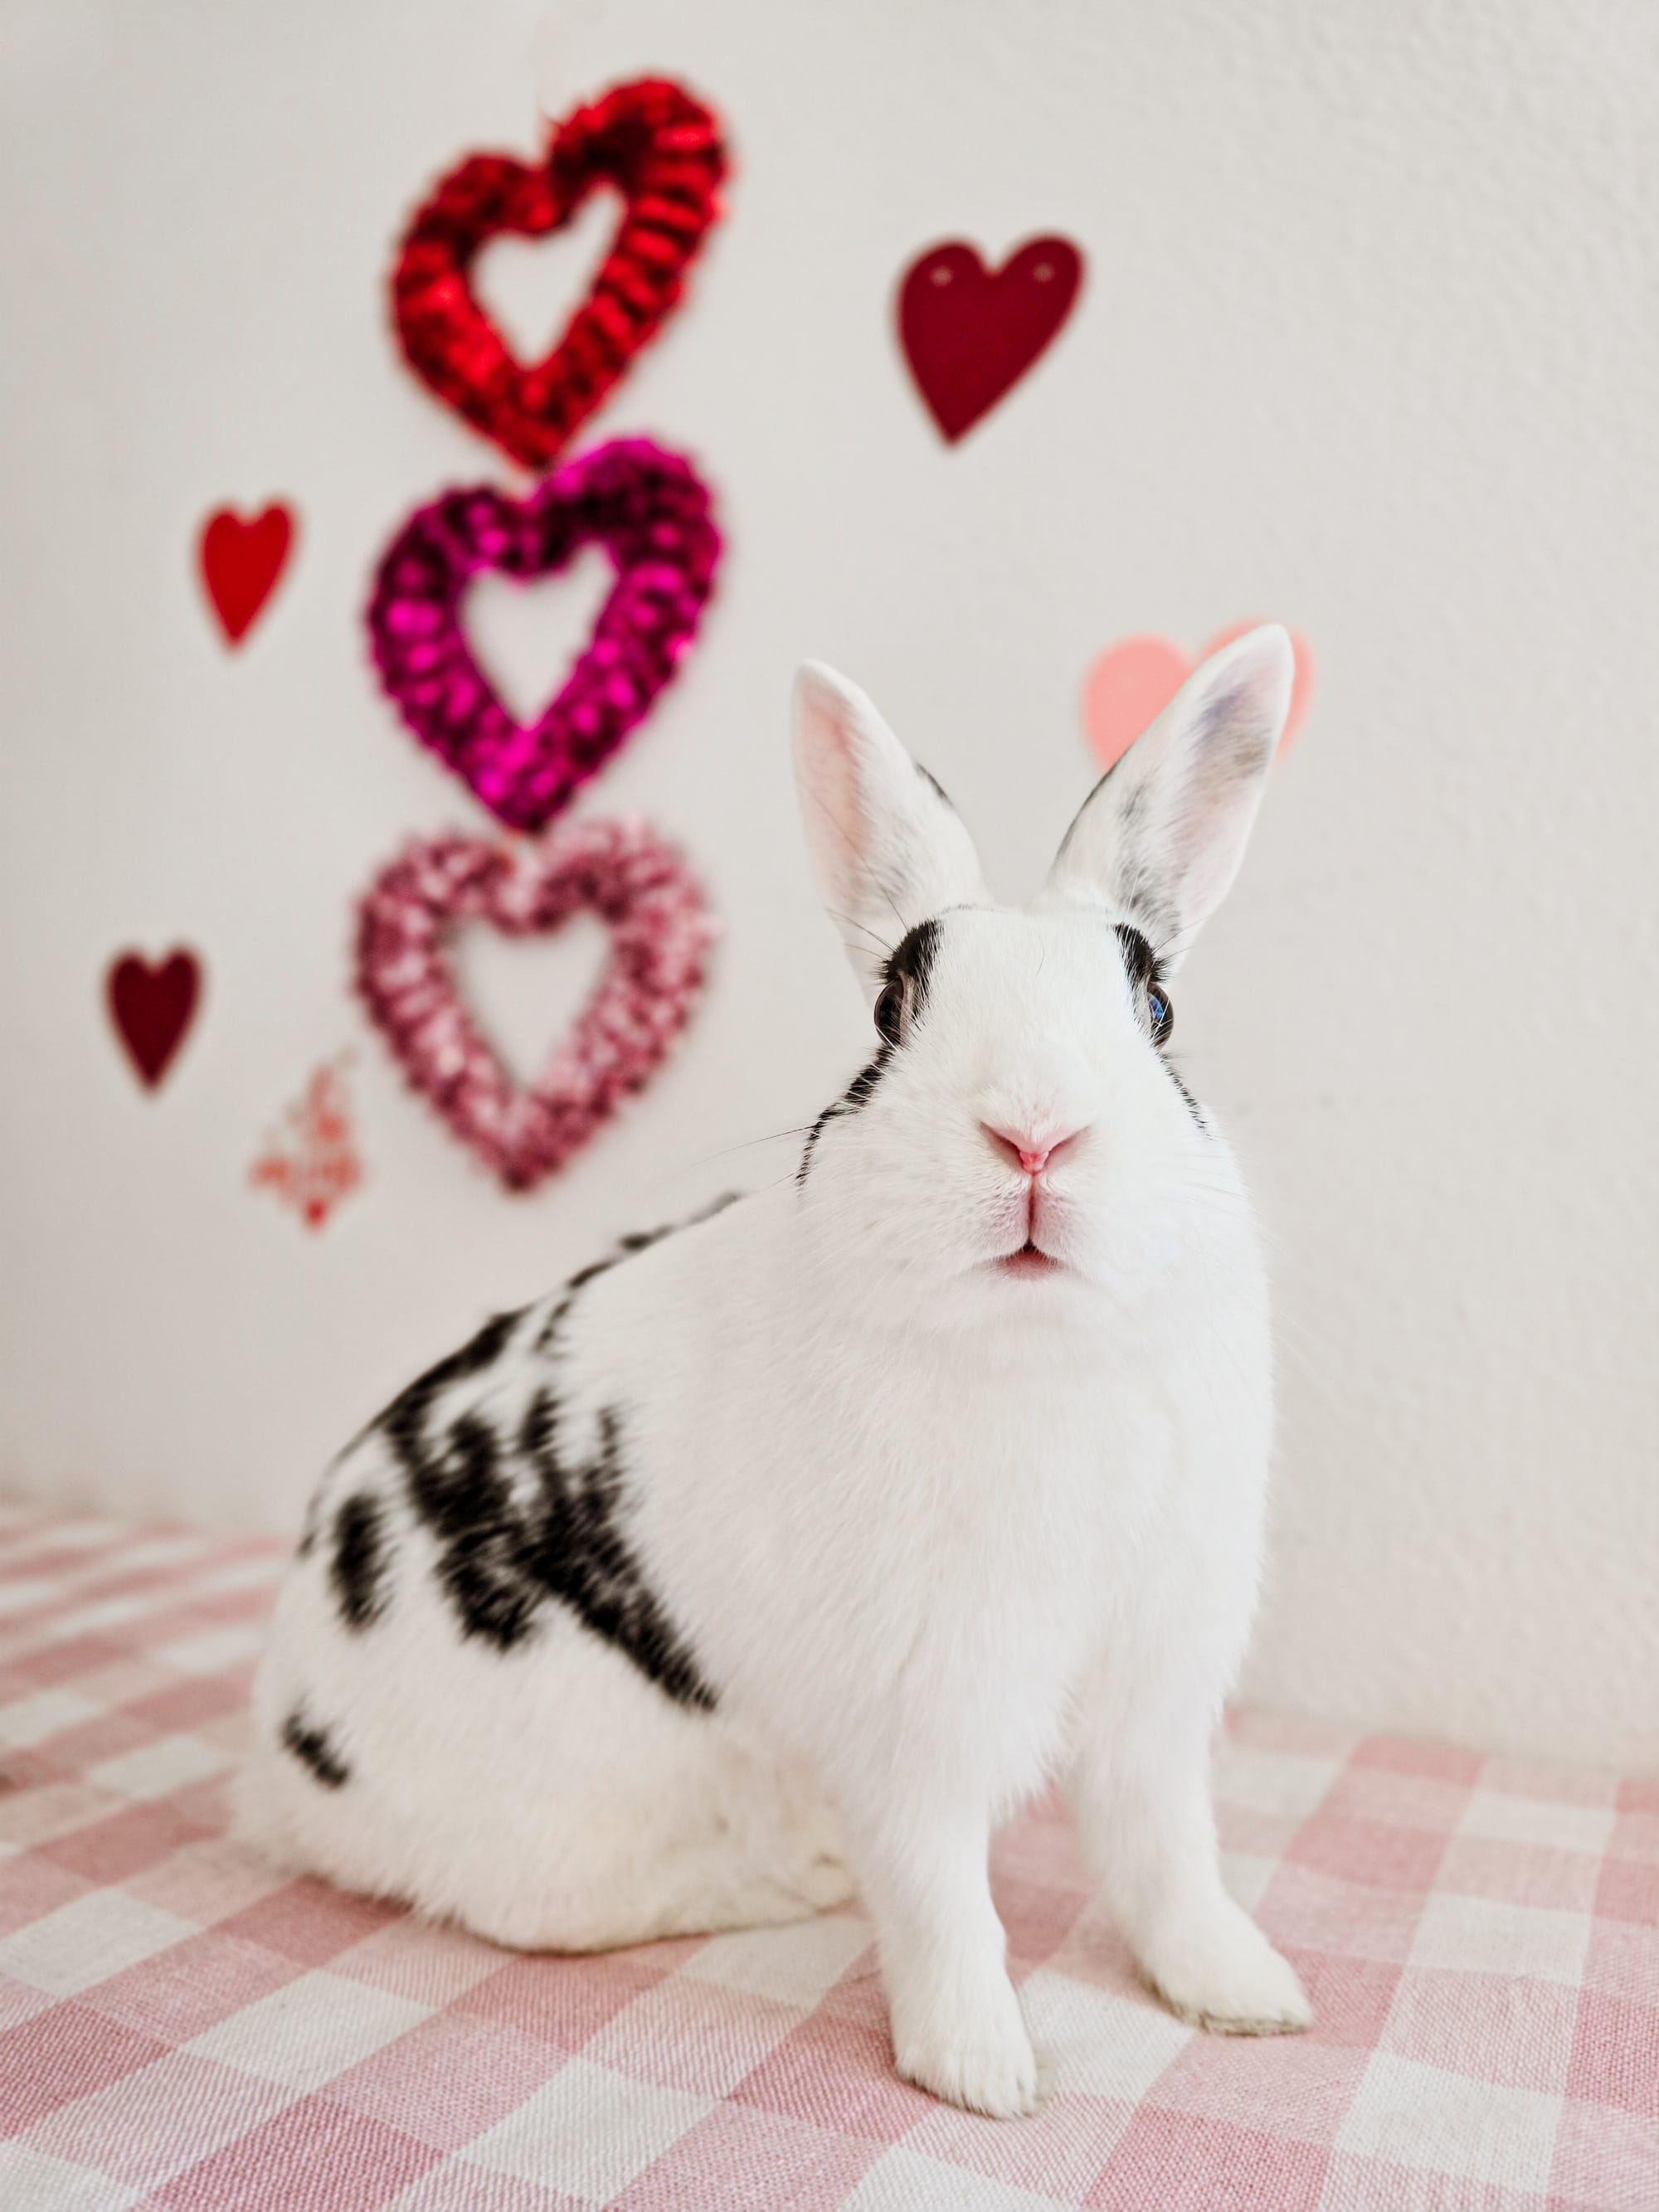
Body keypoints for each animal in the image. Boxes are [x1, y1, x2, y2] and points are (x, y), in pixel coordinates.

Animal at [238, 623, 1310, 2118]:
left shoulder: (1152, 1689)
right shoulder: (917, 1717)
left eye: (1154, 1005)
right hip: (573, 1779)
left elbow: (1168, 1860)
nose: (1034, 1132)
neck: (1034, 1348)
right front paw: (983, 2072)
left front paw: (1247, 1994)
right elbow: (941, 1899)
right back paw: (794, 1869)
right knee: (552, 1908)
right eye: (891, 1010)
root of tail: (278, 1759)